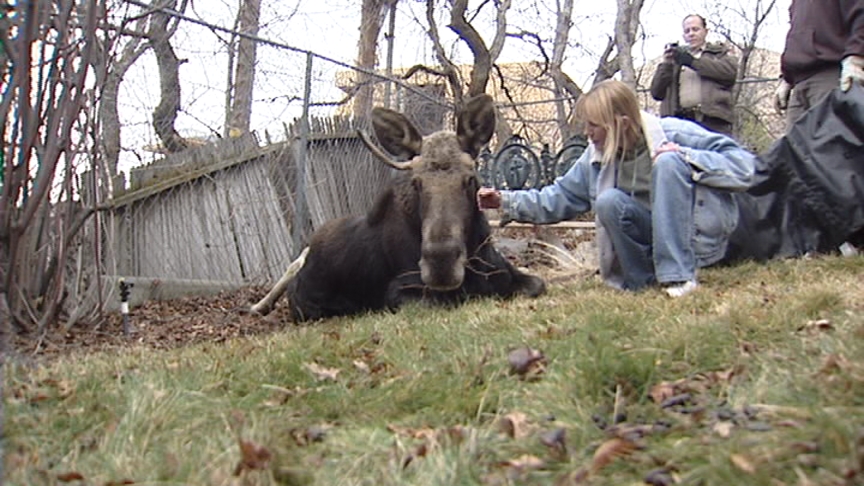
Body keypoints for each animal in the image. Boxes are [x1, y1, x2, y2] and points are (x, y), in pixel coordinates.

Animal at [251, 94, 548, 322]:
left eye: (470, 179)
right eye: (416, 183)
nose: (440, 264)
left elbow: (537, 285)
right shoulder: (398, 293)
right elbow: (448, 300)